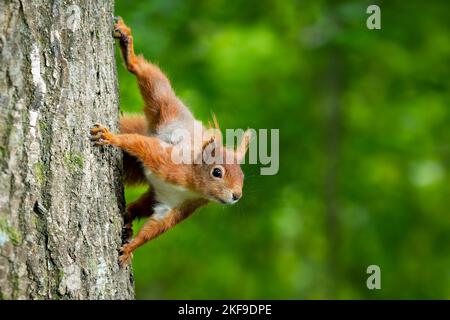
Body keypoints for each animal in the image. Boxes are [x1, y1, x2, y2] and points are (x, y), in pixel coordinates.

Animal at [90, 18, 253, 268]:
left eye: (243, 176)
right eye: (217, 172)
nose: (237, 195)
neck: (191, 184)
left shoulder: (180, 206)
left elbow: (157, 226)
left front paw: (131, 248)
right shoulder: (170, 163)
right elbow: (141, 145)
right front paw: (111, 137)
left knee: (140, 206)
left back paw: (128, 219)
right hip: (166, 106)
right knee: (151, 80)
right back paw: (128, 49)